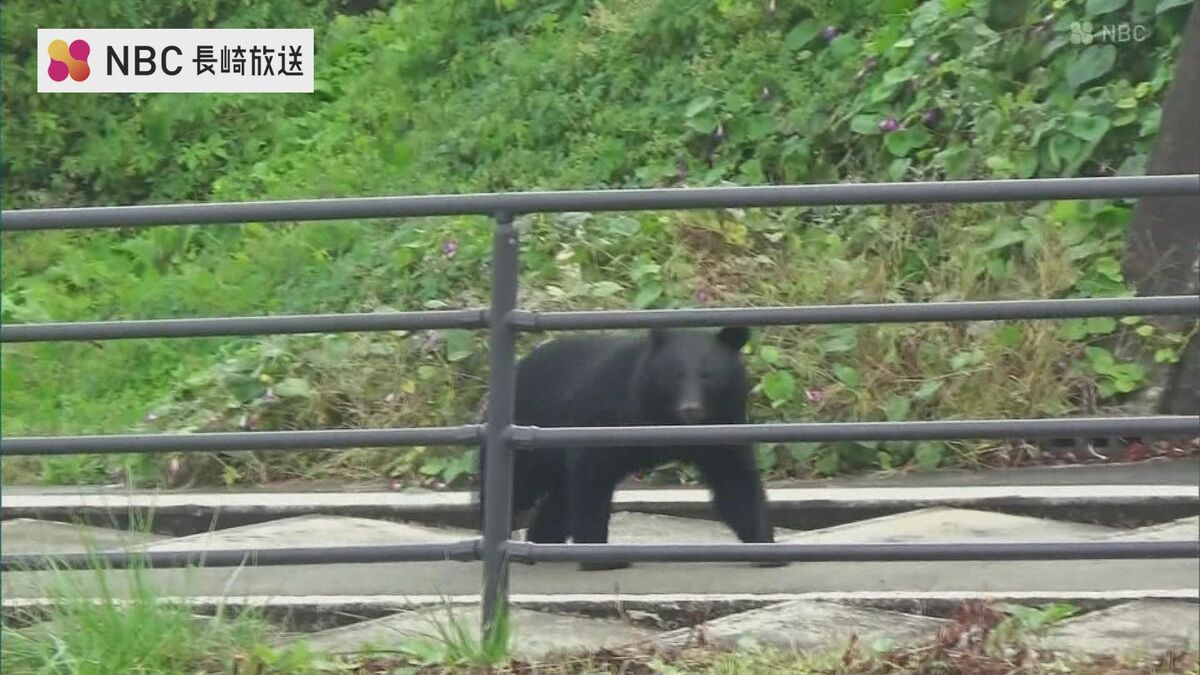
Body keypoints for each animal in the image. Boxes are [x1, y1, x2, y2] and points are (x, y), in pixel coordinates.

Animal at [476, 326, 778, 571]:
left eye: (708, 376)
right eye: (676, 375)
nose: (690, 409)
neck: (666, 418)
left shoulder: (722, 427)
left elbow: (733, 481)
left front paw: (766, 549)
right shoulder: (608, 416)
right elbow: (593, 476)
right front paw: (604, 559)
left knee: (560, 497)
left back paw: (544, 542)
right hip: (535, 431)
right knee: (519, 485)